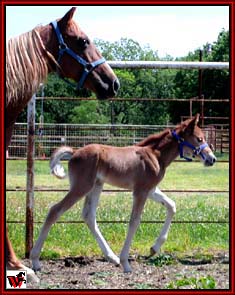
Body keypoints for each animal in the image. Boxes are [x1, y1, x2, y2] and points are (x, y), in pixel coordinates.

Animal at [30, 114, 216, 274]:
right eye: (200, 139)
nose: (212, 159)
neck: (155, 155)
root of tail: (75, 153)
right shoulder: (140, 191)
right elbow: (134, 221)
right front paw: (126, 262)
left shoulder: (150, 189)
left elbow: (171, 205)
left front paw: (154, 248)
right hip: (82, 187)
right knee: (55, 210)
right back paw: (35, 260)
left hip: (96, 186)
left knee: (89, 216)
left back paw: (111, 257)